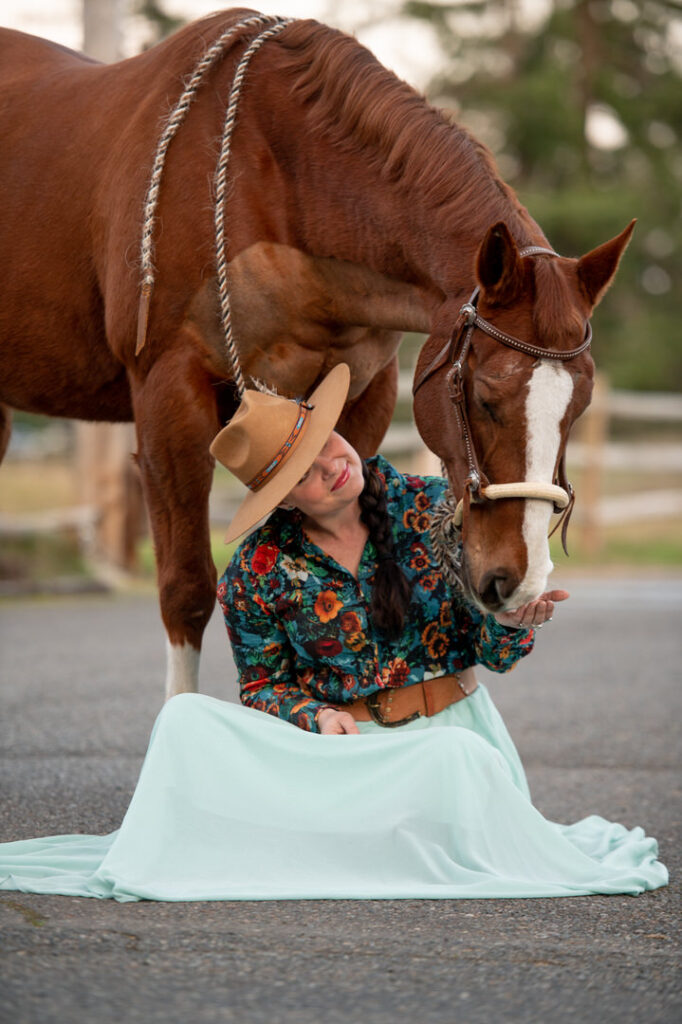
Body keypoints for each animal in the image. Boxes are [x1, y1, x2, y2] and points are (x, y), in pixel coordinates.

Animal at [0, 9, 630, 696]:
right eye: (485, 397)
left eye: (577, 409)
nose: (517, 582)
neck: (280, 174)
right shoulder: (170, 396)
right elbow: (187, 591)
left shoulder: (363, 393)